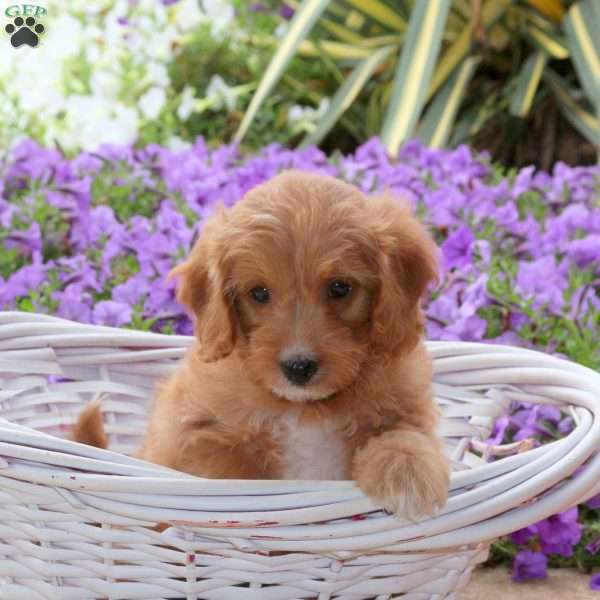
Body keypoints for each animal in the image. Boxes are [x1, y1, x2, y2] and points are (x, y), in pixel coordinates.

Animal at [75, 171, 450, 516]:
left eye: (340, 287)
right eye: (259, 293)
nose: (298, 367)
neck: (305, 409)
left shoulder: (407, 401)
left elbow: (404, 434)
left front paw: (407, 476)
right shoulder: (196, 433)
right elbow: (231, 471)